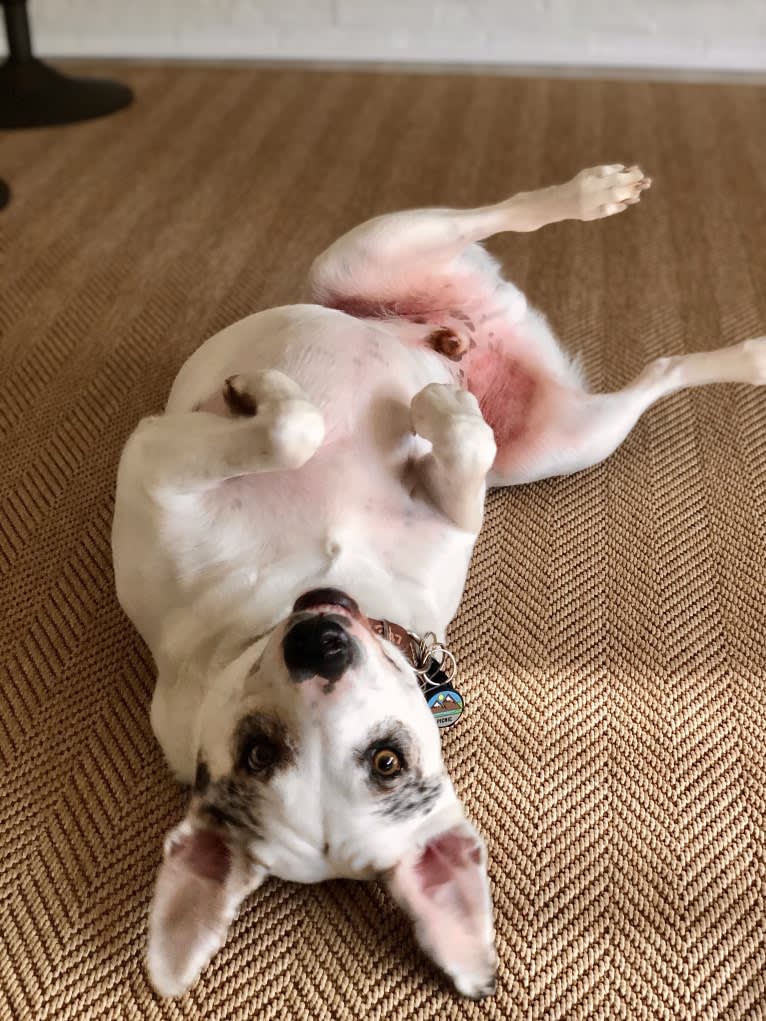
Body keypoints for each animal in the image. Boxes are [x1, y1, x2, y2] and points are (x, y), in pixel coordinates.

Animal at [113, 165, 766, 996]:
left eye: (385, 761)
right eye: (258, 753)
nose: (319, 643)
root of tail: (450, 327)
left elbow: (305, 429)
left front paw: (270, 395)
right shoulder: (161, 462)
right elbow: (305, 430)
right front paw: (432, 411)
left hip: (369, 258)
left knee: (508, 218)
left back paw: (595, 204)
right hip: (563, 439)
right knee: (652, 372)